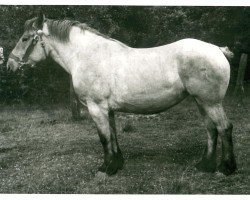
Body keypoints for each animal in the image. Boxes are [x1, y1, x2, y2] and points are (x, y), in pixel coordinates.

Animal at [5, 14, 236, 176]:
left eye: (25, 38)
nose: (10, 64)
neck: (88, 56)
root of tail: (217, 49)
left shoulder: (96, 107)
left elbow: (104, 137)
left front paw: (105, 168)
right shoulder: (107, 109)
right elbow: (113, 135)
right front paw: (117, 163)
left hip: (210, 102)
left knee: (224, 128)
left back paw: (227, 168)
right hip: (201, 102)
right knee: (211, 130)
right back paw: (205, 165)